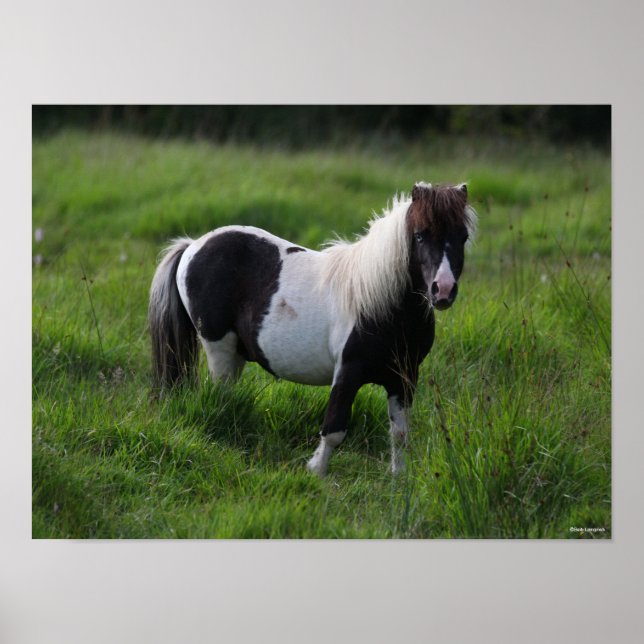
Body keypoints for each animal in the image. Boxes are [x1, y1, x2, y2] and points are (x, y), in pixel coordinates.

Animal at [148, 182, 477, 476]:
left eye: (462, 237)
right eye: (420, 235)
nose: (443, 290)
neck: (380, 304)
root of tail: (193, 245)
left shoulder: (404, 378)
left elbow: (400, 434)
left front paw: (399, 480)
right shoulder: (348, 373)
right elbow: (334, 429)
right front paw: (316, 473)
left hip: (235, 354)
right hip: (219, 349)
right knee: (219, 397)